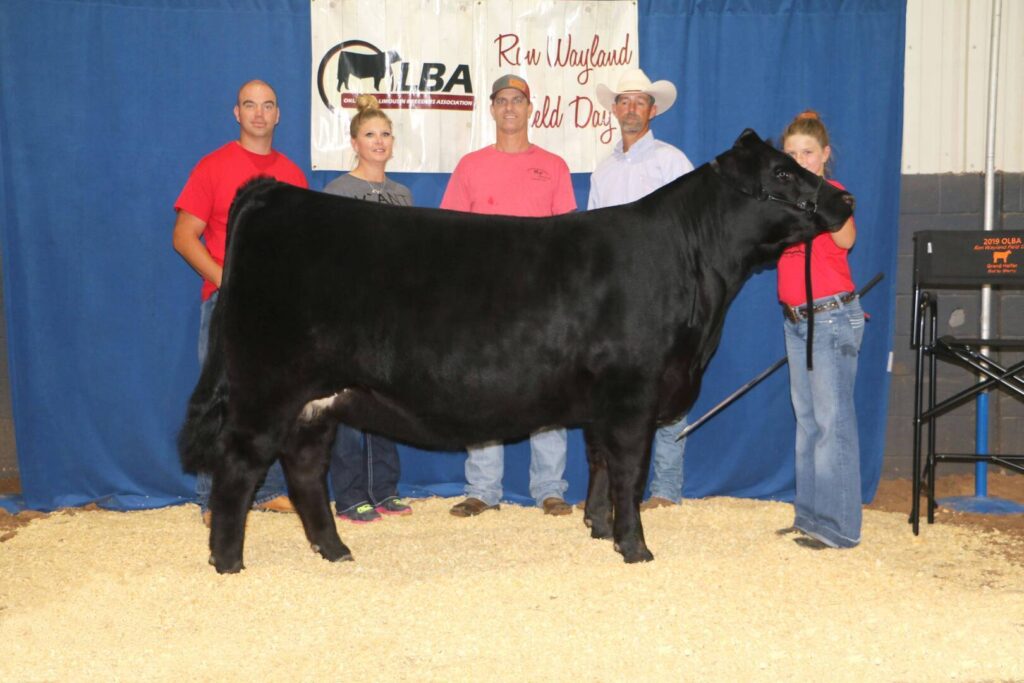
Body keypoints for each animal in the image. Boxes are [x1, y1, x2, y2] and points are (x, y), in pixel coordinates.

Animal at [179, 129, 854, 573]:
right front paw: (635, 548)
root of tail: (274, 193)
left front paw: (597, 528)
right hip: (267, 387)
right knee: (238, 470)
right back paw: (228, 563)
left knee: (303, 470)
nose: (845, 201)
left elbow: (602, 464)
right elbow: (630, 471)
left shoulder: (604, 401)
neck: (694, 270)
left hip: (316, 400)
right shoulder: (634, 392)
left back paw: (336, 551)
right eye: (783, 173)